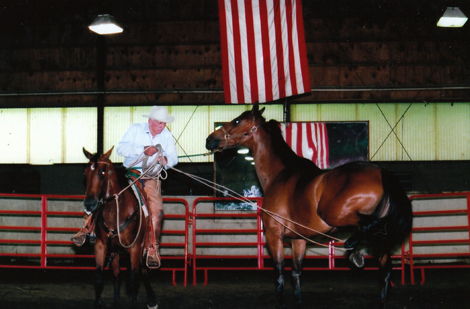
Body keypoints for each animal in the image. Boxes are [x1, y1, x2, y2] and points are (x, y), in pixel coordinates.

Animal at [83, 147, 158, 308]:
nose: (89, 204)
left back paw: (151, 299)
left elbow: (133, 280)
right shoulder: (100, 245)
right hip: (115, 251)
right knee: (116, 274)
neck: (115, 210)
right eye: (85, 173)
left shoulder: (135, 247)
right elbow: (99, 278)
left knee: (143, 270)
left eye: (102, 172)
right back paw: (117, 301)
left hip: (141, 249)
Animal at [206, 104, 412, 308]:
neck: (279, 174)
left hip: (333, 214)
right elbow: (296, 275)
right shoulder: (298, 240)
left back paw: (352, 247)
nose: (210, 140)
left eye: (237, 121)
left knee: (369, 226)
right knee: (385, 271)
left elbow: (279, 276)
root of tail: (381, 172)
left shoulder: (274, 235)